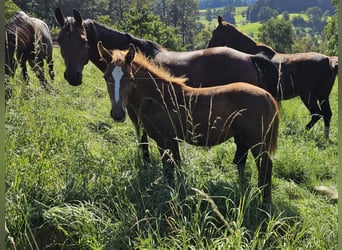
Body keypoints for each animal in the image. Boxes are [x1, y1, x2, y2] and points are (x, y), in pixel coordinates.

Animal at [97, 42, 280, 203]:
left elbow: (169, 169)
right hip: (245, 139)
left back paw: (265, 202)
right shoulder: (172, 140)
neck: (159, 97)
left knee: (266, 165)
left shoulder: (165, 139)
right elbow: (176, 166)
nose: (117, 113)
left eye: (130, 78)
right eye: (105, 77)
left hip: (256, 141)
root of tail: (268, 97)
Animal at [207, 16, 338, 137]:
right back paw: (325, 136)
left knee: (317, 114)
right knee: (327, 114)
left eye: (214, 32)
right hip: (323, 96)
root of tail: (328, 60)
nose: (208, 47)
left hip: (308, 96)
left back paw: (304, 131)